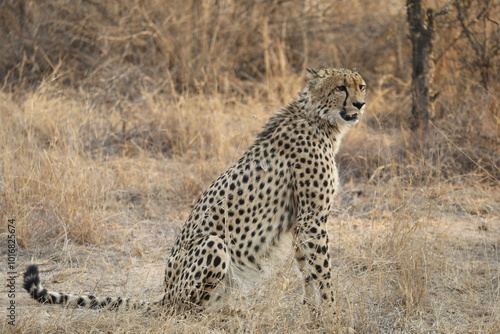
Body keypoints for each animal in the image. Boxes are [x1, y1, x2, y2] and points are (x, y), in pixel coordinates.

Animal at [23, 66, 368, 318]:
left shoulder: (302, 221)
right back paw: (220, 315)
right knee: (186, 309)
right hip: (213, 245)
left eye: (361, 86)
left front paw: (313, 312)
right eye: (341, 87)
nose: (361, 104)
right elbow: (322, 272)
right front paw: (333, 314)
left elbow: (307, 271)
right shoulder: (312, 219)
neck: (320, 119)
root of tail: (164, 293)